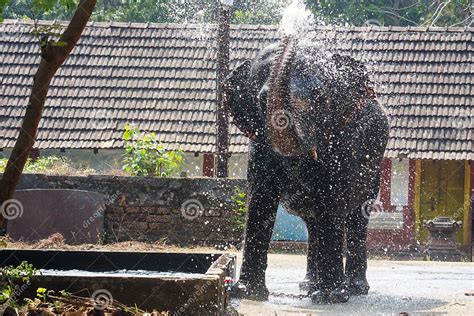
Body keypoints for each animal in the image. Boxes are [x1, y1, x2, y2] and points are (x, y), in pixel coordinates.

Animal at [224, 36, 390, 304]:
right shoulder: (259, 147)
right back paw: (309, 287)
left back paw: (352, 289)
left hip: (375, 164)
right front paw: (249, 293)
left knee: (356, 216)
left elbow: (332, 198)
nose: (291, 34)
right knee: (314, 223)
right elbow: (260, 199)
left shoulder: (342, 142)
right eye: (263, 102)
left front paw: (332, 297)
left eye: (321, 100)